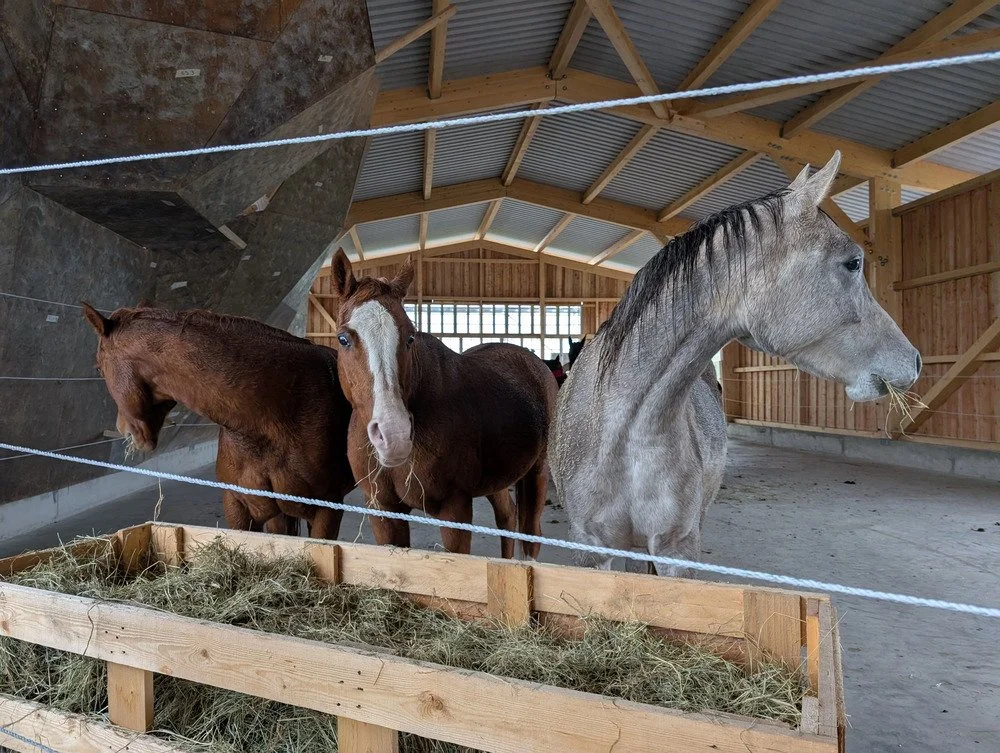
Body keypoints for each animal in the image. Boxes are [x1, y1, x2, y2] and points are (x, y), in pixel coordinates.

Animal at [327, 250, 558, 559]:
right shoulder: (384, 512)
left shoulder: (454, 509)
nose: (394, 435)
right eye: (343, 339)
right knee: (507, 518)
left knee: (530, 536)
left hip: (537, 473)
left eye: (410, 337)